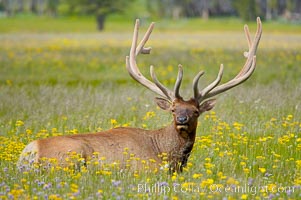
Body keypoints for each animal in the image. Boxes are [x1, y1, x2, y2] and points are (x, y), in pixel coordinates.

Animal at [18, 18, 260, 173]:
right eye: (173, 109)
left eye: (196, 111)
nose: (182, 119)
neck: (167, 155)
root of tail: (30, 152)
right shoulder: (146, 169)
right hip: (71, 157)